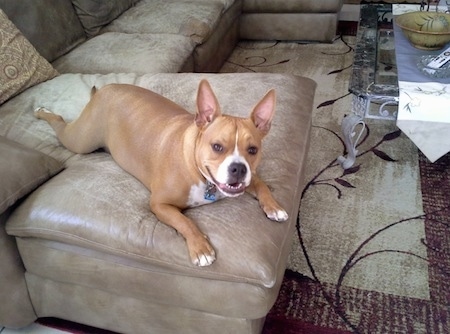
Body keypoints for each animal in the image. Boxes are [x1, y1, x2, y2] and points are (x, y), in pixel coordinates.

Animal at [36, 79, 288, 268]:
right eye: (217, 146)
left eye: (252, 150)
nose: (238, 168)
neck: (199, 172)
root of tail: (106, 88)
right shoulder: (159, 204)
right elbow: (185, 221)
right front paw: (201, 248)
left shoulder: (249, 178)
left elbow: (262, 185)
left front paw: (274, 207)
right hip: (79, 140)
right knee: (59, 123)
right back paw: (42, 111)